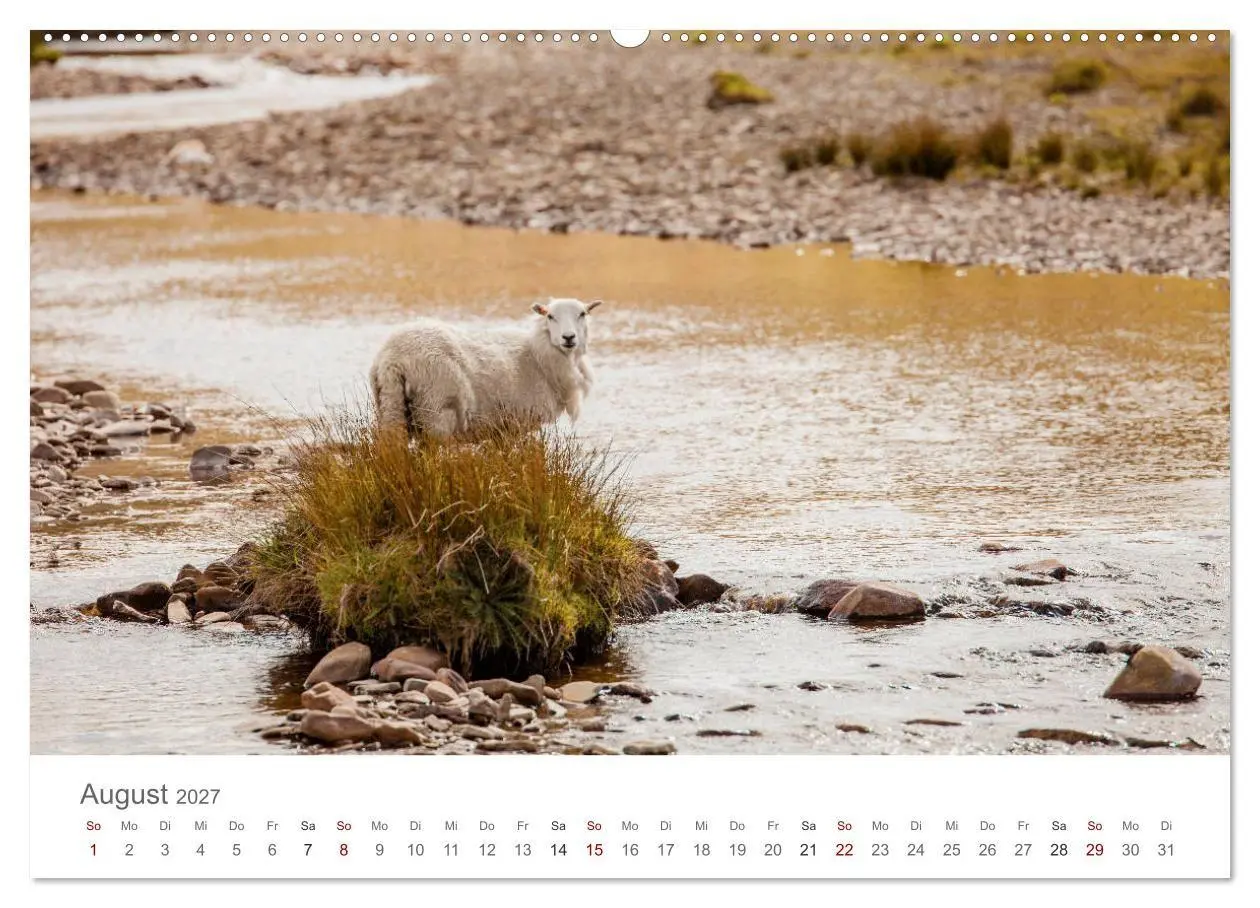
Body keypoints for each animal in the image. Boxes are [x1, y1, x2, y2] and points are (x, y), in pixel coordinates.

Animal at [370, 298, 602, 437]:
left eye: (582, 314)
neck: (538, 354)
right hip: (435, 407)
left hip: (390, 404)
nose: (568, 337)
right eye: (550, 316)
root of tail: (394, 357)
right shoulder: (520, 421)